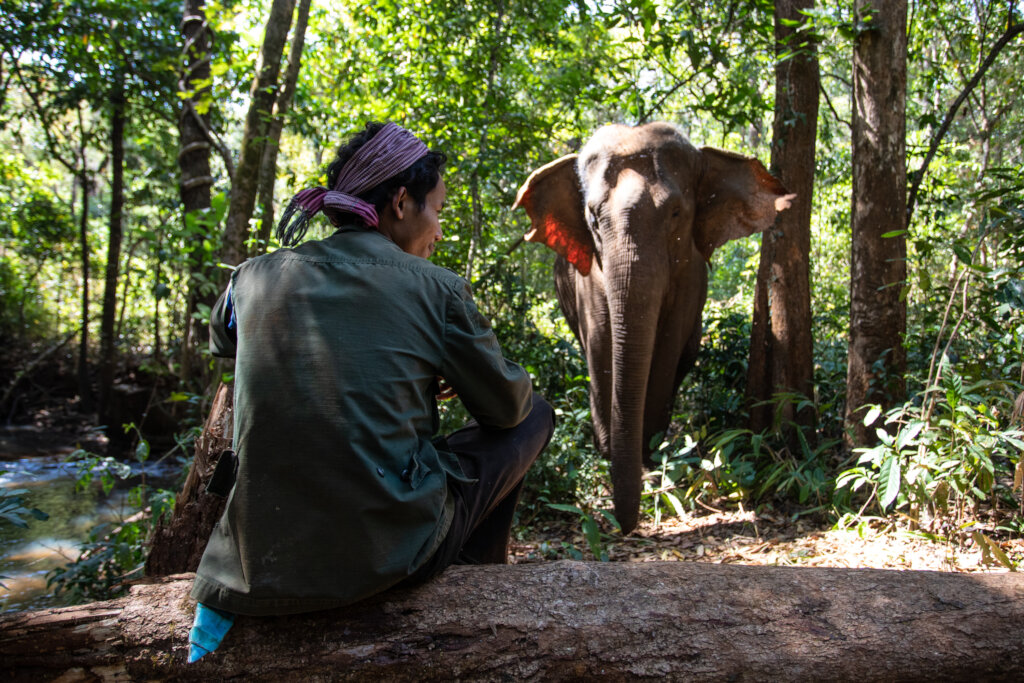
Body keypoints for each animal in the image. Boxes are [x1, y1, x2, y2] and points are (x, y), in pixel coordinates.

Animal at [516, 120, 794, 532]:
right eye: (593, 218)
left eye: (676, 213)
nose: (624, 526)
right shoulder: (589, 277)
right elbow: (601, 346)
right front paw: (607, 453)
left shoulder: (689, 276)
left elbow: (666, 350)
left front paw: (649, 456)